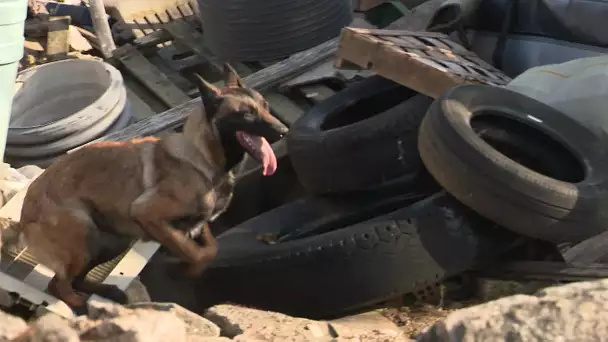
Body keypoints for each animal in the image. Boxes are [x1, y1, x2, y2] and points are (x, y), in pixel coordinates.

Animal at [0, 62, 290, 308]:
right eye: (246, 114)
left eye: (265, 106)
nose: (284, 130)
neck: (202, 157)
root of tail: (23, 218)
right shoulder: (149, 215)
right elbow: (197, 254)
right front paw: (181, 270)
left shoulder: (196, 224)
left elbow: (211, 249)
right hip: (83, 236)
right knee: (58, 284)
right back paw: (80, 306)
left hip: (112, 241)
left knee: (75, 279)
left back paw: (108, 292)